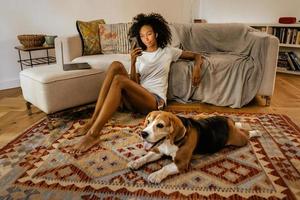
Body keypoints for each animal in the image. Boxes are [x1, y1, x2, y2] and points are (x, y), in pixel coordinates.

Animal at [127, 110, 262, 184]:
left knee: (246, 134)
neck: (168, 142)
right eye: (148, 121)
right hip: (202, 117)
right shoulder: (157, 151)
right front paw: (136, 162)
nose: (143, 133)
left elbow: (165, 167)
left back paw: (256, 131)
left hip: (239, 140)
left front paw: (156, 175)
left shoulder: (181, 163)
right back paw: (240, 123)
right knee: (238, 125)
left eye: (160, 125)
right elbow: (146, 157)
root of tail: (226, 120)